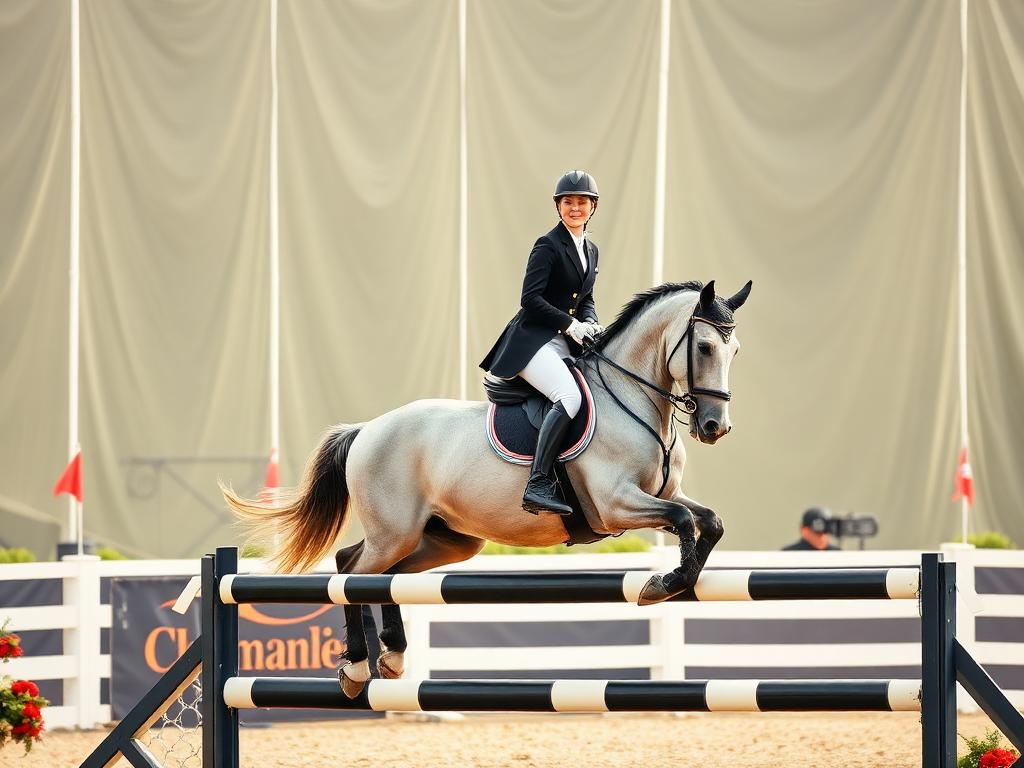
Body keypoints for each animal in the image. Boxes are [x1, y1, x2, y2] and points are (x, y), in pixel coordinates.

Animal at [222, 279, 752, 697]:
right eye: (705, 348)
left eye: (735, 351)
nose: (715, 427)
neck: (634, 399)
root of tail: (367, 428)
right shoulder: (613, 505)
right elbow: (683, 520)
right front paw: (665, 583)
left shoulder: (660, 496)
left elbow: (710, 521)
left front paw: (679, 577)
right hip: (394, 532)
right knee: (350, 570)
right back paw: (355, 667)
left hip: (445, 540)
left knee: (380, 575)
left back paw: (393, 655)